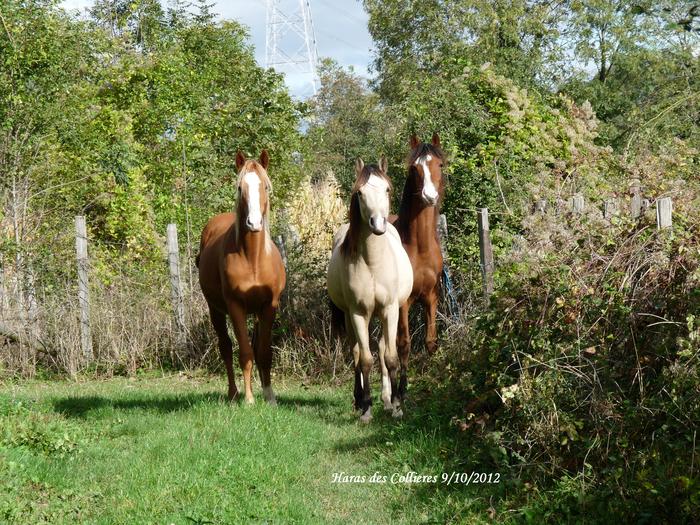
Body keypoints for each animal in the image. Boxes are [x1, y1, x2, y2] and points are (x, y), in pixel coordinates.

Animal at [196, 149, 286, 404]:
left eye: (265, 186)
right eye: (240, 187)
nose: (254, 223)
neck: (253, 258)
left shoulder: (268, 306)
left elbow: (263, 352)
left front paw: (269, 396)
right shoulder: (235, 306)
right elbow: (244, 352)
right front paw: (249, 399)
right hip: (215, 310)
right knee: (226, 347)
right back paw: (234, 392)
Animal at [326, 157, 412, 422]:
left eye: (387, 189)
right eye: (360, 193)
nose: (378, 224)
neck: (373, 262)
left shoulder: (390, 309)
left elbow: (391, 358)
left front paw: (397, 406)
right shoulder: (358, 313)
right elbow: (364, 360)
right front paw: (366, 409)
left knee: (384, 348)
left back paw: (387, 400)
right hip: (349, 316)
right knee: (355, 352)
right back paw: (360, 400)